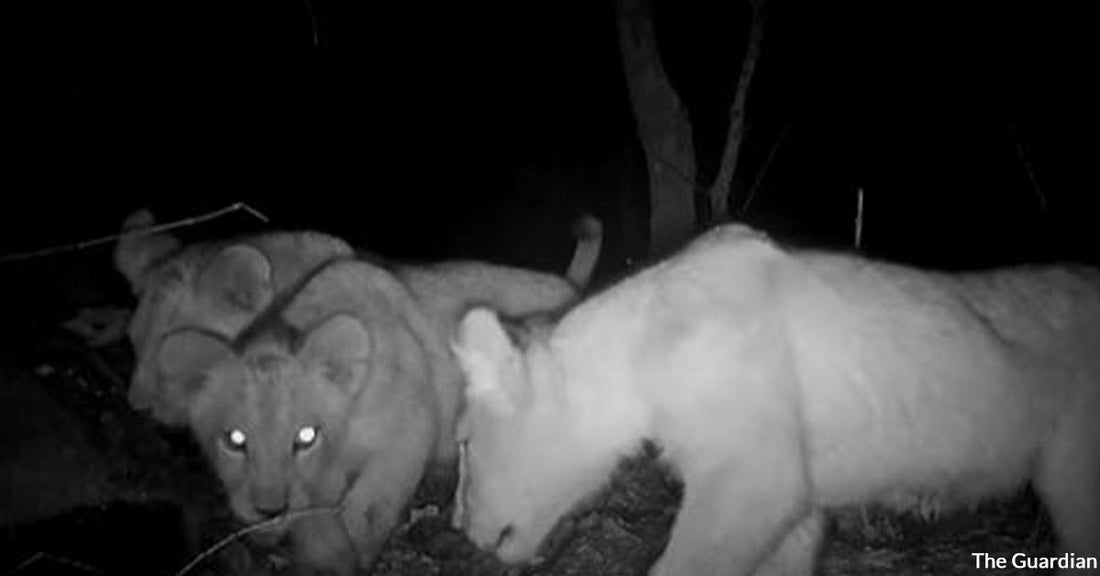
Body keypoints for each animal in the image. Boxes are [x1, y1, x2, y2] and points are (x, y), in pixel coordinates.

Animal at [451, 223, 1100, 576]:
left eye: (463, 445)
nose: (458, 529)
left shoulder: (753, 476)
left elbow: (687, 564)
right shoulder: (793, 499)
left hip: (1076, 483)